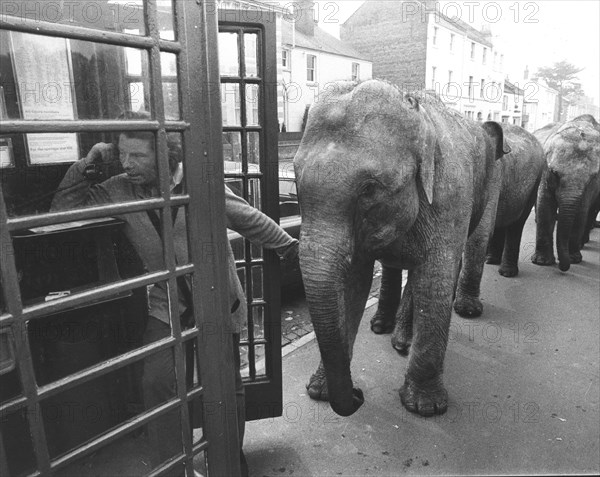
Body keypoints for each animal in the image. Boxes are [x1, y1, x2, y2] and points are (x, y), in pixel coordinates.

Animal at [292, 79, 508, 416]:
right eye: (295, 182)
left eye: (369, 189)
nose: (358, 395)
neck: (417, 115)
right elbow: (354, 281)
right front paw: (320, 392)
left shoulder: (450, 194)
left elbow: (435, 279)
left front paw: (425, 407)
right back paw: (394, 335)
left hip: (493, 178)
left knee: (469, 247)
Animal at [532, 114, 596, 270]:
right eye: (554, 173)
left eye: (592, 177)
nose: (561, 265)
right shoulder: (545, 169)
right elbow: (544, 205)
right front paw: (542, 262)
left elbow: (581, 212)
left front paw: (574, 260)